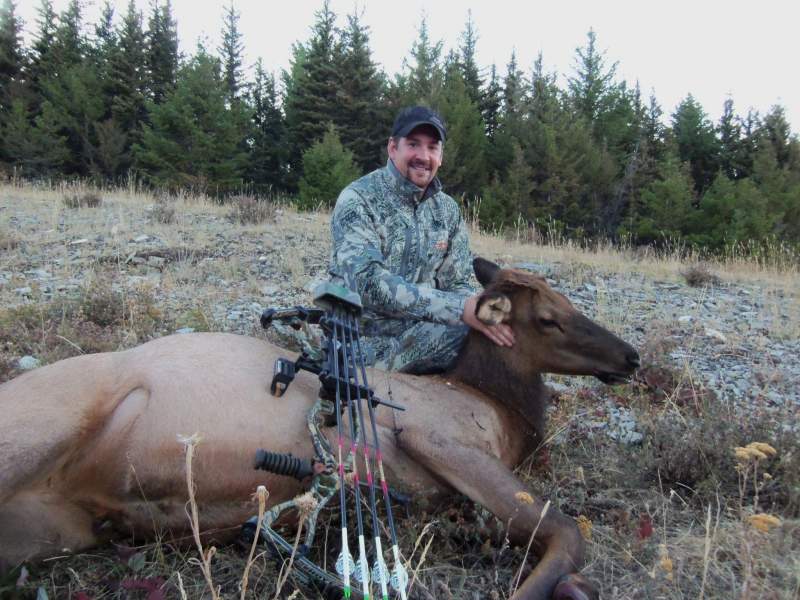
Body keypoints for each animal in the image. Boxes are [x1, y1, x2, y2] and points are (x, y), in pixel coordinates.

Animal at [0, 258, 636, 600]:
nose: (628, 356)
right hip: (39, 428)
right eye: (549, 318)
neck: (504, 410)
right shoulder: (435, 437)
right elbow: (567, 533)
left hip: (52, 528)